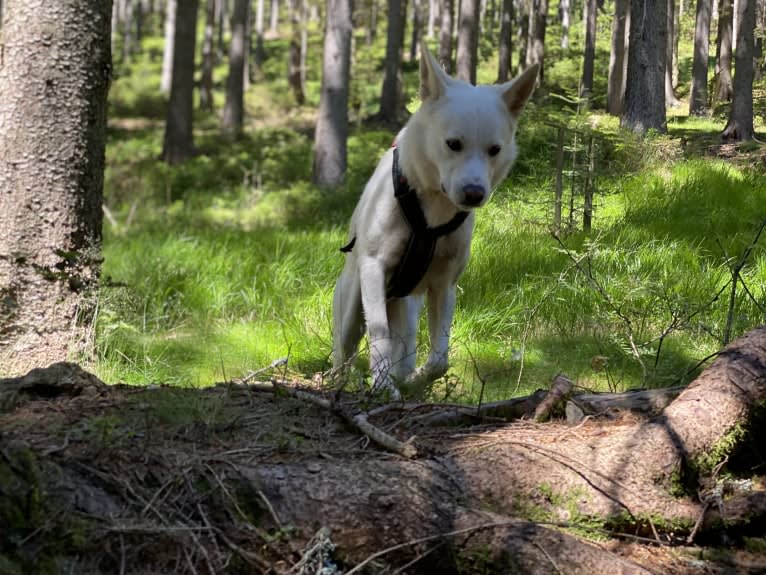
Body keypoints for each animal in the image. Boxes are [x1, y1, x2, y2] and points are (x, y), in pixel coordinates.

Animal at [332, 47, 536, 398]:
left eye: (494, 149)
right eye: (453, 144)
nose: (474, 193)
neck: (430, 213)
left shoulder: (444, 285)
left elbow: (440, 357)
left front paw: (415, 380)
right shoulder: (373, 269)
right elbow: (379, 336)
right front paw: (383, 388)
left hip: (408, 308)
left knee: (404, 346)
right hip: (351, 306)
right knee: (345, 351)